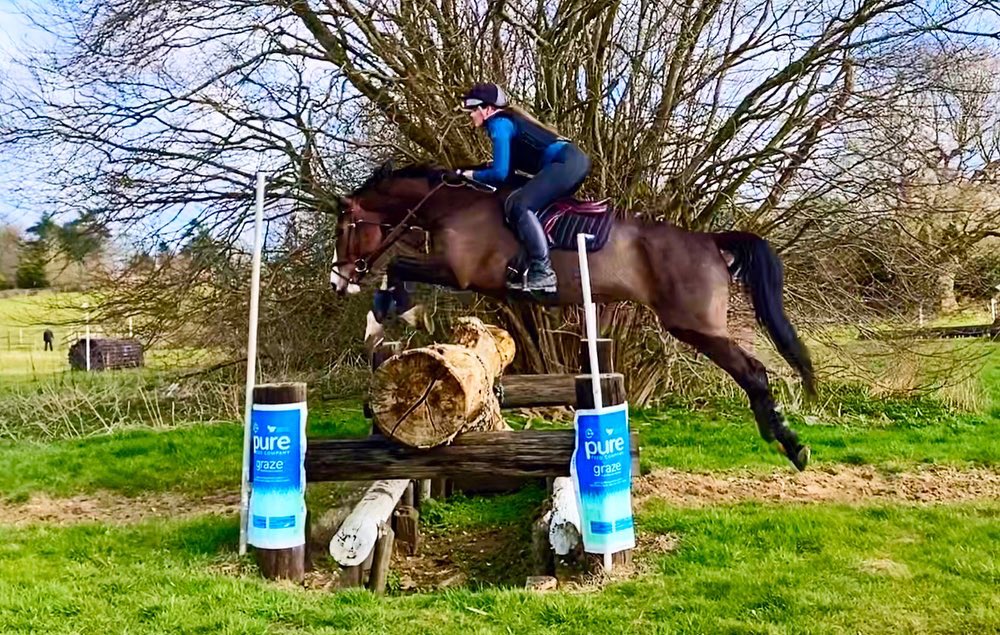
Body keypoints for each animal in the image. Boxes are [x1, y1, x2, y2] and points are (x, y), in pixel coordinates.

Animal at [330, 162, 815, 471]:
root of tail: (709, 241)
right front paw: (389, 313)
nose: (339, 281)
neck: (453, 207)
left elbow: (397, 267)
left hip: (695, 325)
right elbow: (398, 271)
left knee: (753, 371)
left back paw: (789, 445)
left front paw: (397, 311)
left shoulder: (458, 272)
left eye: (344, 230)